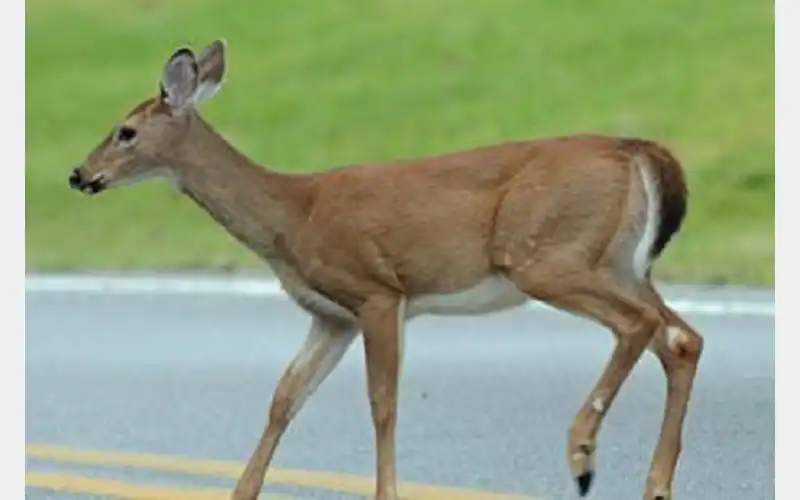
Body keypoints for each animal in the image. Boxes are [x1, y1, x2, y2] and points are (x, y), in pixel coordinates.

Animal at [67, 39, 703, 500]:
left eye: (125, 131)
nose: (79, 174)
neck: (292, 217)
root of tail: (640, 151)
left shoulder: (376, 292)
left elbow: (382, 403)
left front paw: (386, 493)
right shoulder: (331, 317)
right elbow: (285, 396)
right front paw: (241, 493)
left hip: (549, 256)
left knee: (640, 326)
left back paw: (581, 454)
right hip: (618, 262)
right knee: (682, 337)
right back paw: (656, 486)